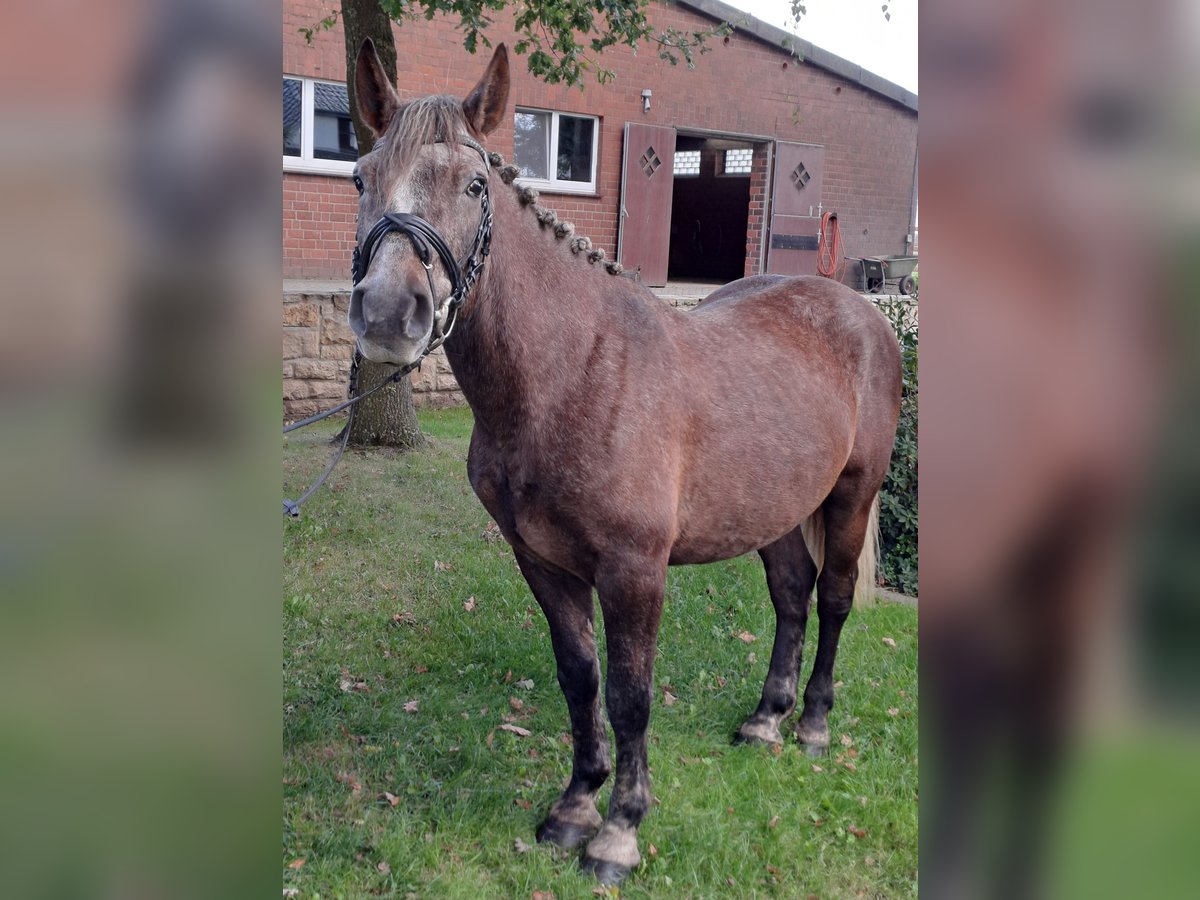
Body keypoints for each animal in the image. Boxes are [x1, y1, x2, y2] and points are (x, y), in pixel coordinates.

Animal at [348, 38, 902, 883]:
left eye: (474, 184)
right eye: (360, 176)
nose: (386, 314)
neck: (573, 370)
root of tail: (864, 312)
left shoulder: (634, 570)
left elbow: (631, 695)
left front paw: (619, 832)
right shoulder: (542, 561)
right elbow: (580, 680)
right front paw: (575, 807)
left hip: (851, 494)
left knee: (834, 598)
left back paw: (811, 725)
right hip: (776, 506)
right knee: (791, 595)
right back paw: (765, 720)